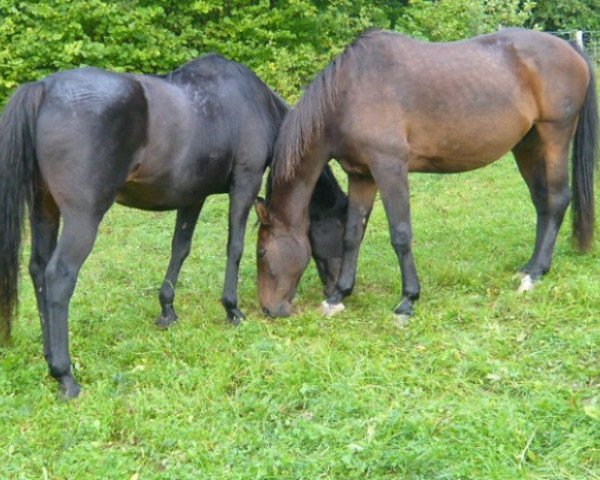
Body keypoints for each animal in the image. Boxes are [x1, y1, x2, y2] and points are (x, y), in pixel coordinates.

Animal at [0, 53, 344, 398]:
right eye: (337, 231)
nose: (334, 292)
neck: (249, 101)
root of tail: (44, 89)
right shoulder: (245, 183)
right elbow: (234, 247)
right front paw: (232, 310)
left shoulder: (193, 196)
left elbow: (180, 248)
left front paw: (167, 310)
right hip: (83, 217)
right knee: (58, 276)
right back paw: (65, 375)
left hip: (44, 209)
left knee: (37, 269)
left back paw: (49, 357)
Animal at [255, 26, 596, 318]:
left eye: (261, 253)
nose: (270, 309)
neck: (350, 92)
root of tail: (569, 47)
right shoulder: (362, 174)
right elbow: (353, 233)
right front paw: (338, 297)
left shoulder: (390, 168)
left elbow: (401, 234)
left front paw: (408, 300)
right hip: (527, 145)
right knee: (542, 202)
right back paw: (529, 267)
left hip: (554, 136)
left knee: (557, 200)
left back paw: (536, 274)